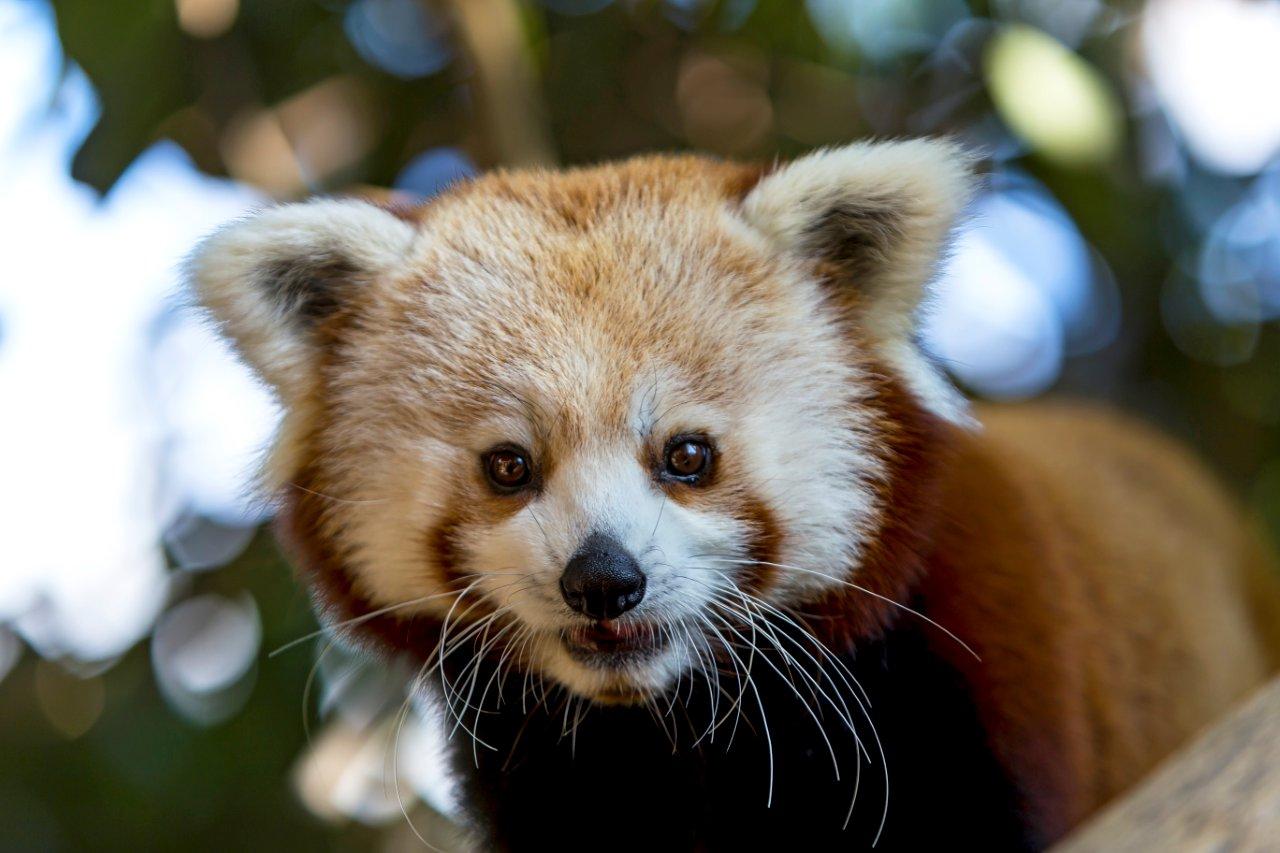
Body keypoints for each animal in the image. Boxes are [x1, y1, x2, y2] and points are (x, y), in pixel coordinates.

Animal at [186, 142, 1280, 845]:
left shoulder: (960, 676)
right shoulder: (542, 766)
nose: (602, 579)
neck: (672, 723)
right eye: (508, 466)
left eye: (687, 455)